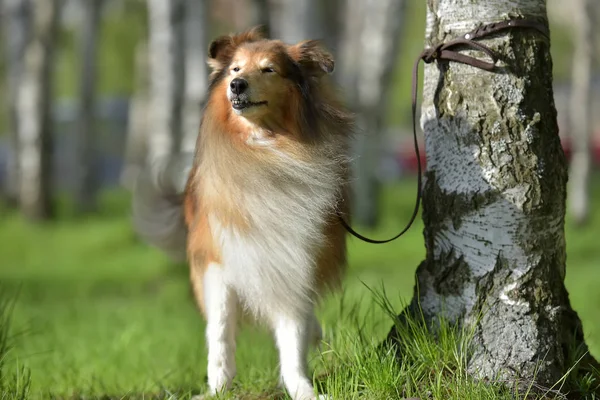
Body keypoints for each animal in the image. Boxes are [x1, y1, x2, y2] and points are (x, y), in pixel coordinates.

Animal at [131, 26, 354, 398]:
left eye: (269, 69)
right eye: (235, 69)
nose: (237, 85)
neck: (263, 151)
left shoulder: (293, 258)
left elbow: (292, 331)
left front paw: (302, 388)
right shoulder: (219, 259)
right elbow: (220, 329)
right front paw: (219, 385)